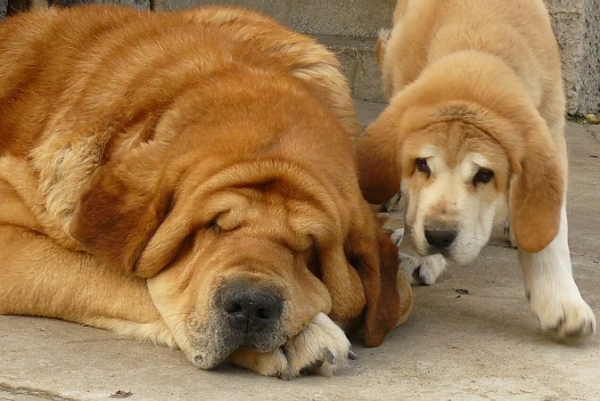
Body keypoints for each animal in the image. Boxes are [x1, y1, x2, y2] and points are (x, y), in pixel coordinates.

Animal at [356, 0, 596, 340]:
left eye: (484, 174)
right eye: (422, 164)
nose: (439, 236)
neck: (478, 36)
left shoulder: (550, 131)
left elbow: (549, 230)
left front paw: (559, 300)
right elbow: (413, 204)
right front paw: (416, 254)